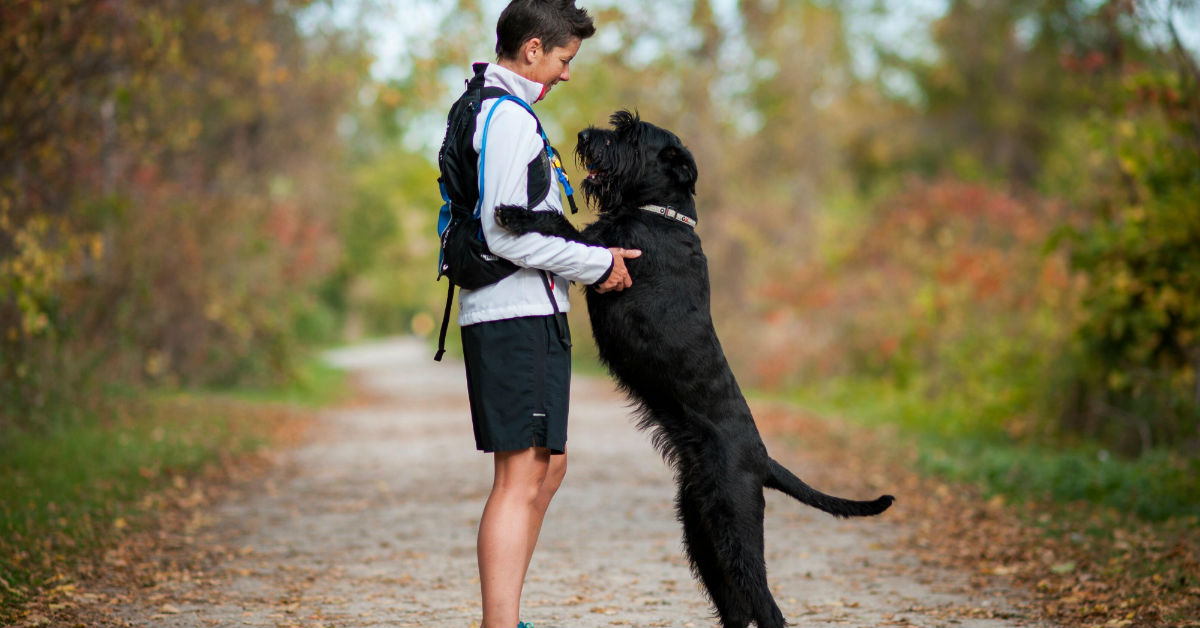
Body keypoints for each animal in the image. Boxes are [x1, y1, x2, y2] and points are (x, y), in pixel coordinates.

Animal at [494, 111, 892, 628]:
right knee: (736, 605)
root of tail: (763, 460)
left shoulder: (606, 254)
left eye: (630, 134)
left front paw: (514, 213)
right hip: (701, 531)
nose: (583, 136)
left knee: (765, 604)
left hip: (733, 525)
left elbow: (560, 222)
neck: (660, 214)